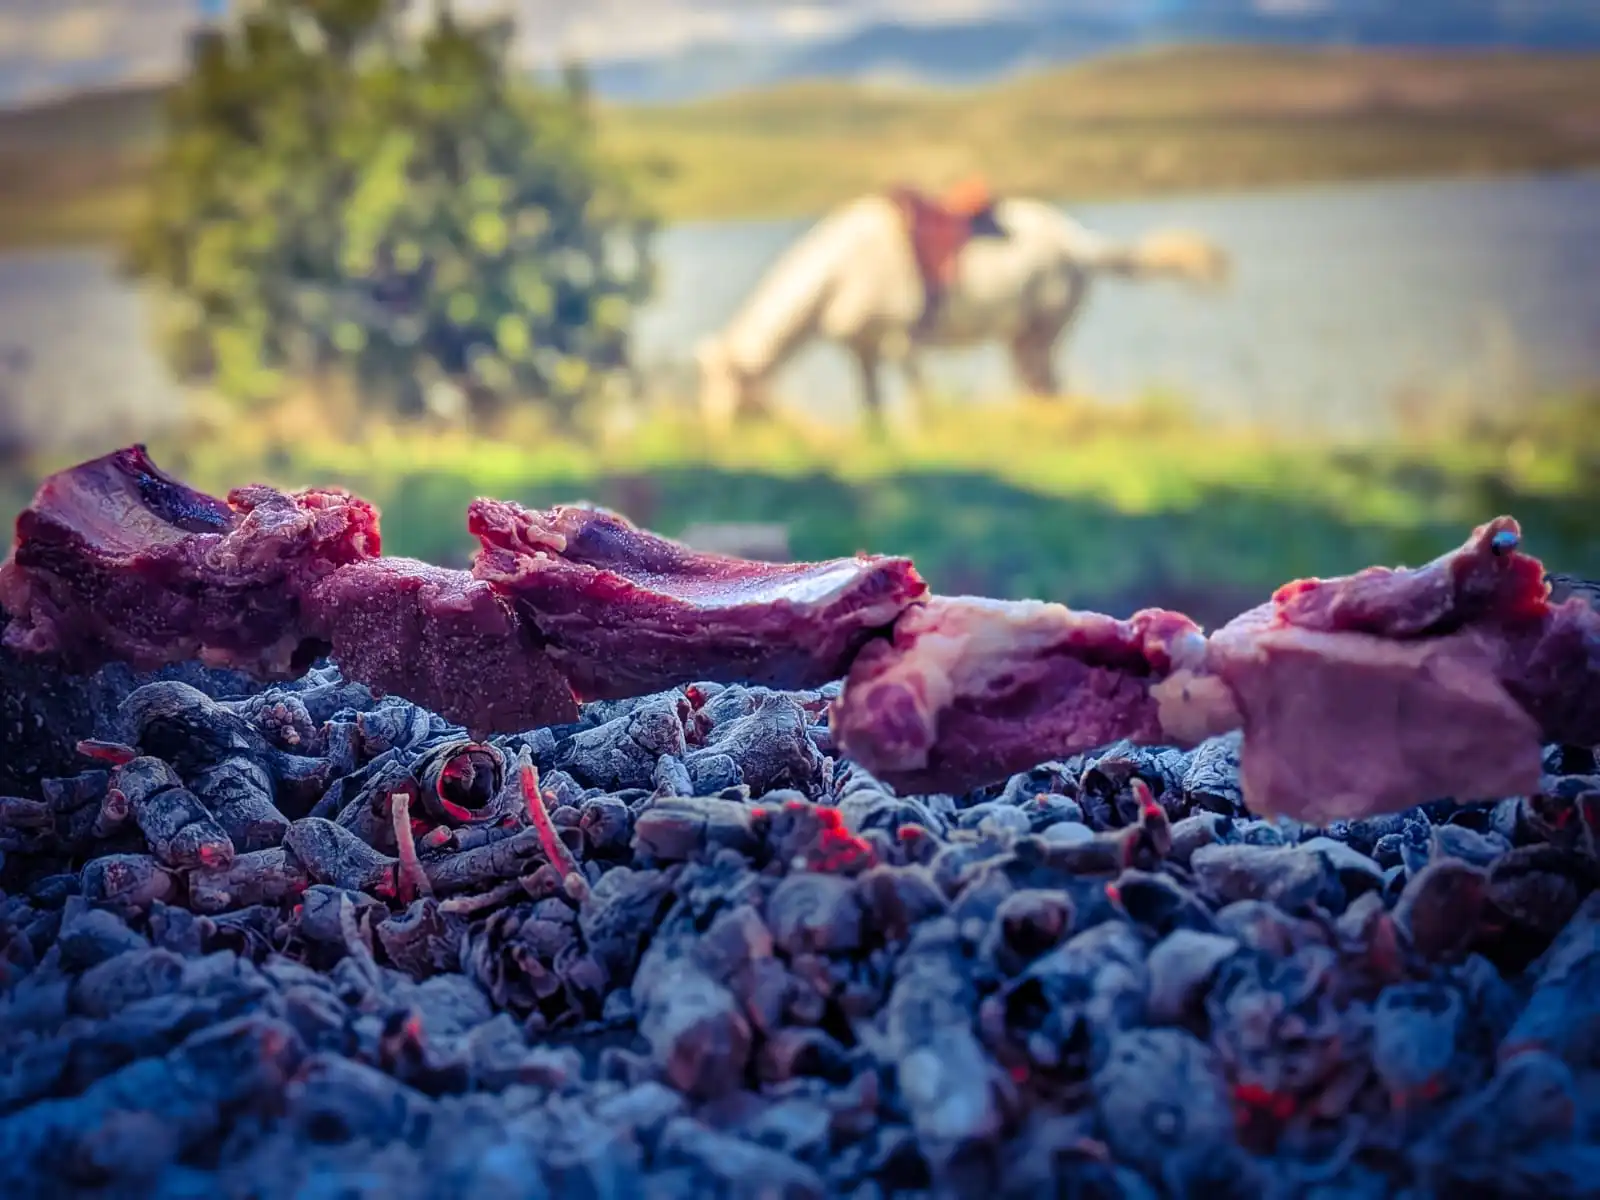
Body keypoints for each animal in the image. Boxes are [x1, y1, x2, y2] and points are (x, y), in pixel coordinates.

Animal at [694, 193, 1230, 432]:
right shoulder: (862, 348)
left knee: (1047, 390)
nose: (715, 432)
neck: (839, 272)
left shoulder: (901, 340)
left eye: (729, 385)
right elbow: (872, 404)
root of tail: (1080, 244)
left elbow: (918, 400)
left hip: (1040, 334)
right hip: (1023, 339)